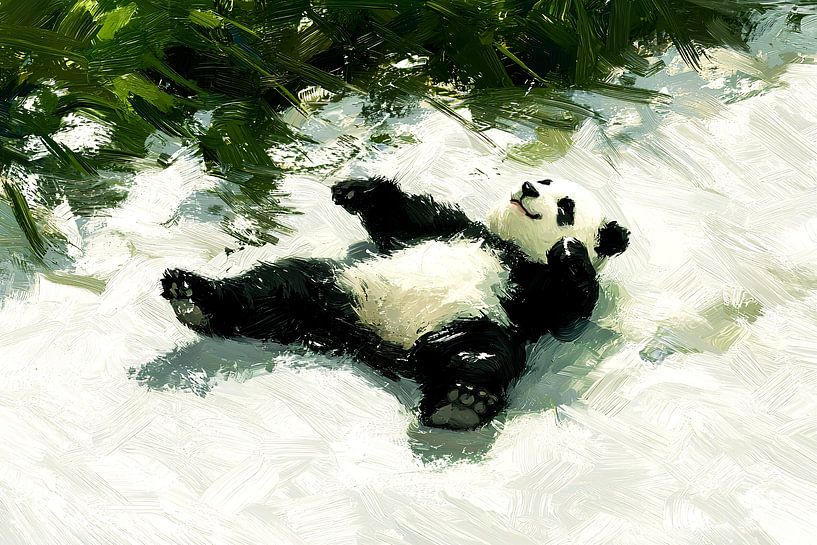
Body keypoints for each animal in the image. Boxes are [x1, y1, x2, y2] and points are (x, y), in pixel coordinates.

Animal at [161, 177, 629, 430]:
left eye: (566, 207)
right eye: (544, 180)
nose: (528, 187)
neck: (508, 245)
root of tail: (378, 343)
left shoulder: (528, 290)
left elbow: (567, 310)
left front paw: (570, 253)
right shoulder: (455, 229)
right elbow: (403, 216)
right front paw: (355, 190)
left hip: (471, 322)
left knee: (479, 355)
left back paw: (461, 402)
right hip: (340, 289)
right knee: (275, 287)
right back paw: (194, 297)